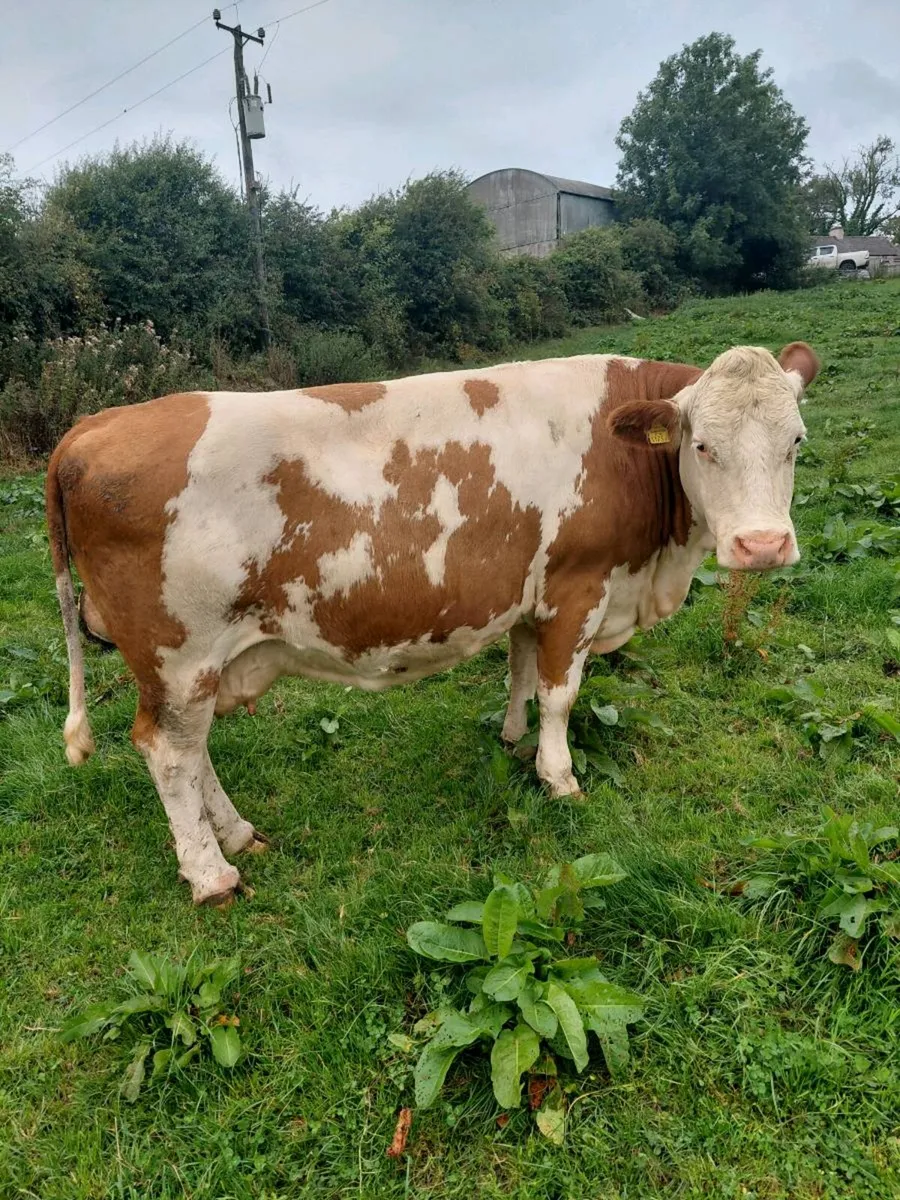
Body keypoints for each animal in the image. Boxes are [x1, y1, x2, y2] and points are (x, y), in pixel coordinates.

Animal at [46, 342, 818, 906]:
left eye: (796, 442)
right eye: (702, 445)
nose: (762, 545)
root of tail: (90, 427)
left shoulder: (530, 597)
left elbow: (521, 672)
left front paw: (512, 740)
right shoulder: (579, 586)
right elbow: (560, 695)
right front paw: (559, 777)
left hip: (193, 664)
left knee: (192, 747)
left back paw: (237, 835)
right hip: (179, 651)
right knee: (170, 753)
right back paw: (212, 876)